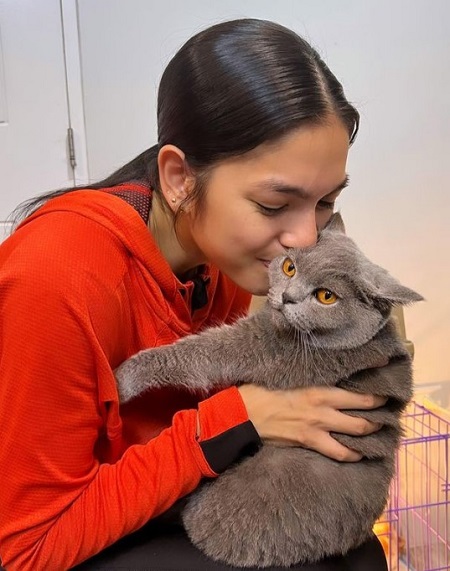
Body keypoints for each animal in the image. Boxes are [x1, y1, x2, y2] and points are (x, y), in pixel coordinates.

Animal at [114, 214, 424, 568]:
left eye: (326, 296)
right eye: (289, 268)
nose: (288, 297)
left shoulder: (258, 346)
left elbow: (195, 352)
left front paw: (123, 378)